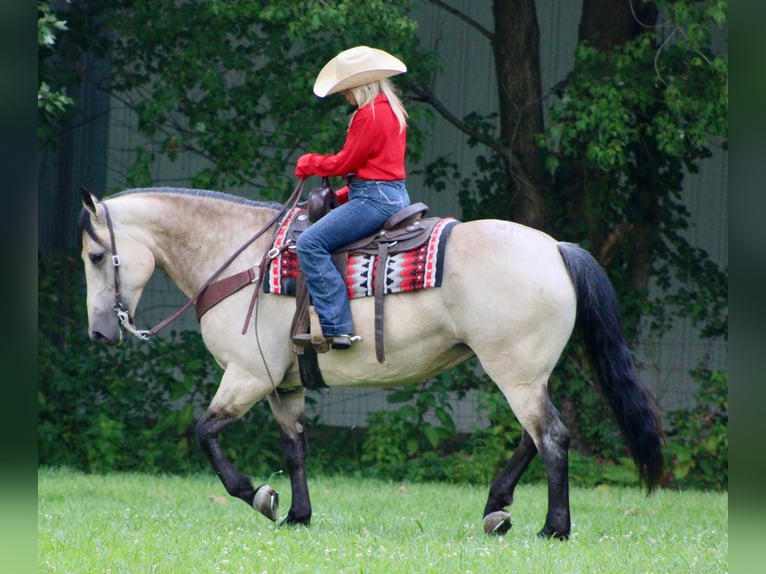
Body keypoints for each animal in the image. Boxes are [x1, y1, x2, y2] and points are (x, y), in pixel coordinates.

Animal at [79, 184, 664, 540]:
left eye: (94, 255)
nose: (100, 332)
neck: (241, 260)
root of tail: (555, 248)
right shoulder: (282, 386)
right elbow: (295, 449)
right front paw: (298, 516)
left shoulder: (247, 377)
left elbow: (205, 433)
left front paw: (260, 496)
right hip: (523, 373)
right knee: (532, 437)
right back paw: (496, 509)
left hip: (515, 374)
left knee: (552, 438)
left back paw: (553, 528)